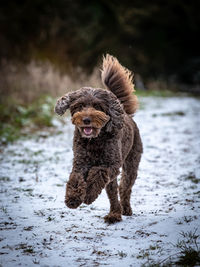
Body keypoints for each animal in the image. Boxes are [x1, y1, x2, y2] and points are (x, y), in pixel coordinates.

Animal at [54, 54, 143, 224]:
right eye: (80, 105)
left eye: (97, 106)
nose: (86, 119)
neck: (94, 140)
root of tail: (125, 113)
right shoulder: (80, 162)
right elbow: (75, 178)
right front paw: (73, 198)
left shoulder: (111, 164)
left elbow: (98, 173)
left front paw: (88, 195)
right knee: (113, 192)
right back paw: (114, 214)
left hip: (131, 162)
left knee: (125, 187)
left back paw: (125, 210)